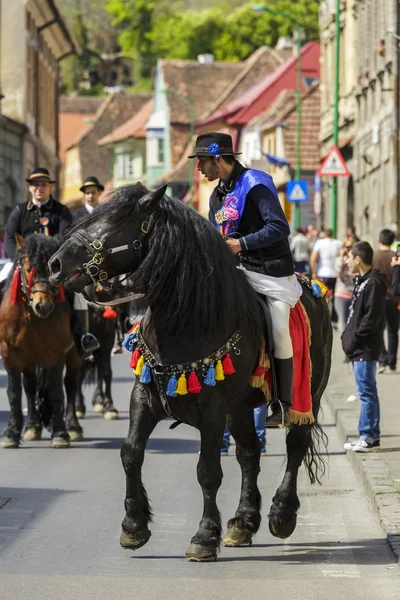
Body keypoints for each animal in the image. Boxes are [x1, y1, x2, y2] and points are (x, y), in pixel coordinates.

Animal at [0, 237, 83, 448]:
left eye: (52, 269)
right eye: (28, 269)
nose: (43, 305)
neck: (30, 315)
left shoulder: (54, 354)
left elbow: (55, 391)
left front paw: (60, 434)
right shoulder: (10, 354)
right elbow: (14, 392)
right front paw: (11, 434)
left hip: (74, 354)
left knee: (71, 384)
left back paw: (73, 427)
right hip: (29, 358)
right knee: (30, 387)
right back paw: (32, 427)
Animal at [48, 184, 332, 564]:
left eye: (112, 226)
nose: (55, 264)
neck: (188, 318)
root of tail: (313, 291)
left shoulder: (212, 410)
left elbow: (208, 471)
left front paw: (204, 536)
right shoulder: (145, 398)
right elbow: (130, 453)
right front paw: (133, 526)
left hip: (305, 396)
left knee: (295, 446)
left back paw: (281, 515)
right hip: (239, 407)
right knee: (249, 453)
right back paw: (243, 522)